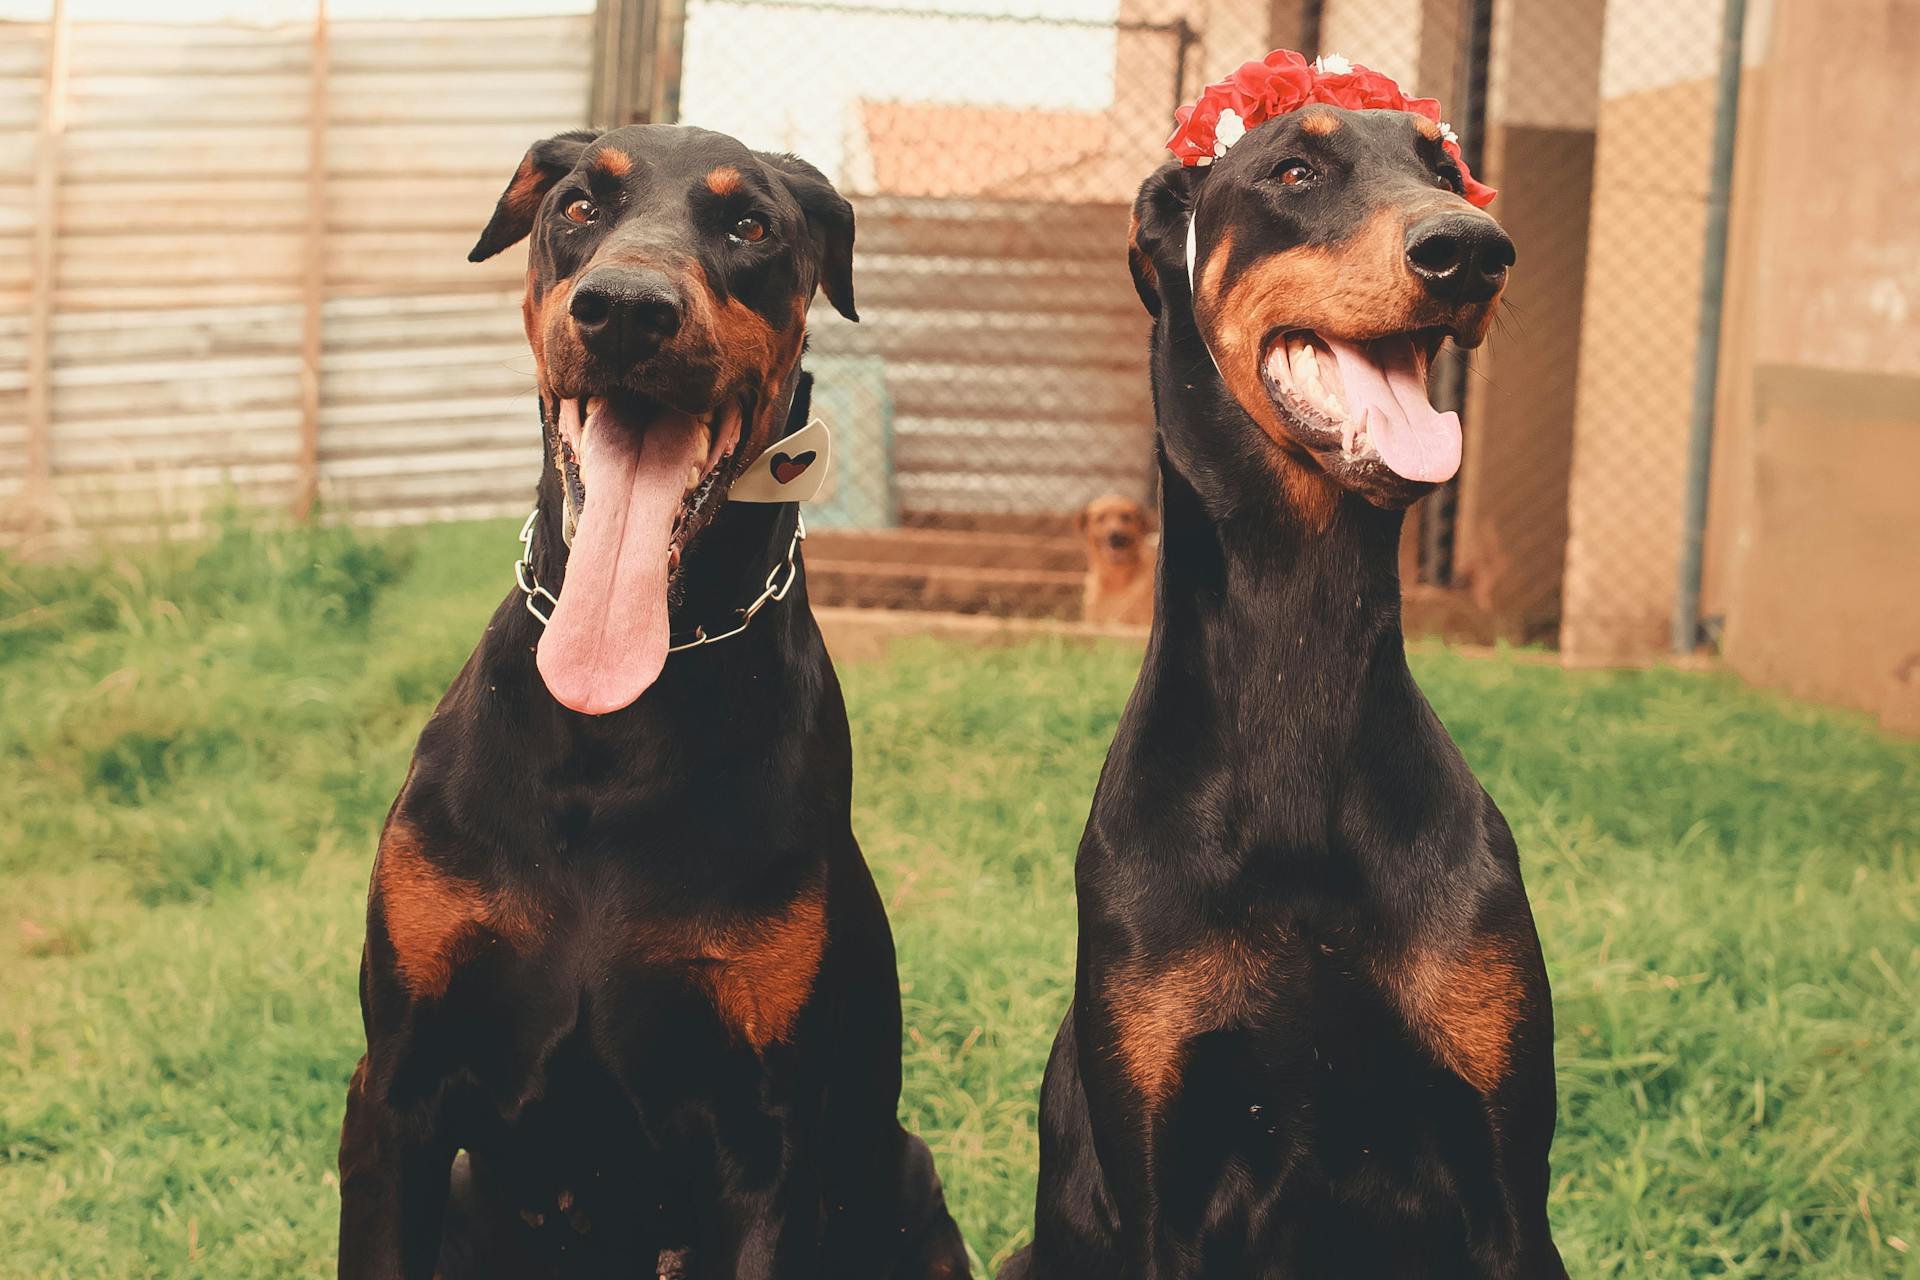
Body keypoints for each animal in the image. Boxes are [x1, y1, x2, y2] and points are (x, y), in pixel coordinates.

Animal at [336, 124, 967, 1280]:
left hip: (907, 1177)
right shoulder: (398, 1090)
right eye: (580, 206)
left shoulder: (767, 1142)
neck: (619, 715)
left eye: (751, 224)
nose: (626, 307)